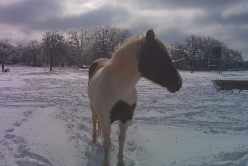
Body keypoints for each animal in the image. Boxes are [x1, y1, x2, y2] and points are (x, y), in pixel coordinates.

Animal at [87, 29, 182, 165]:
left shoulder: (127, 118)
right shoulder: (105, 118)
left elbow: (122, 139)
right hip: (93, 107)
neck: (119, 89)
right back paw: (94, 139)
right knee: (94, 120)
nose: (179, 82)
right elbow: (106, 145)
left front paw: (121, 162)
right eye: (161, 56)